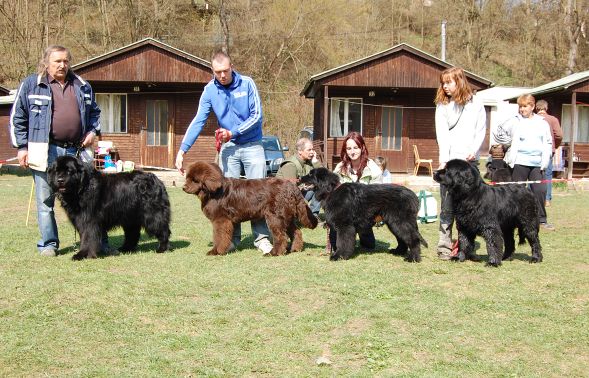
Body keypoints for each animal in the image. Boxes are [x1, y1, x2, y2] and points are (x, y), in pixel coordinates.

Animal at [184, 161, 316, 255]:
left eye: (195, 180)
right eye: (187, 177)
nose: (184, 187)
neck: (214, 192)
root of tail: (292, 187)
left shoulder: (220, 220)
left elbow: (219, 237)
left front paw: (216, 251)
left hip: (275, 216)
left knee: (281, 236)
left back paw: (274, 253)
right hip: (287, 216)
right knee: (296, 232)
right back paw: (295, 249)